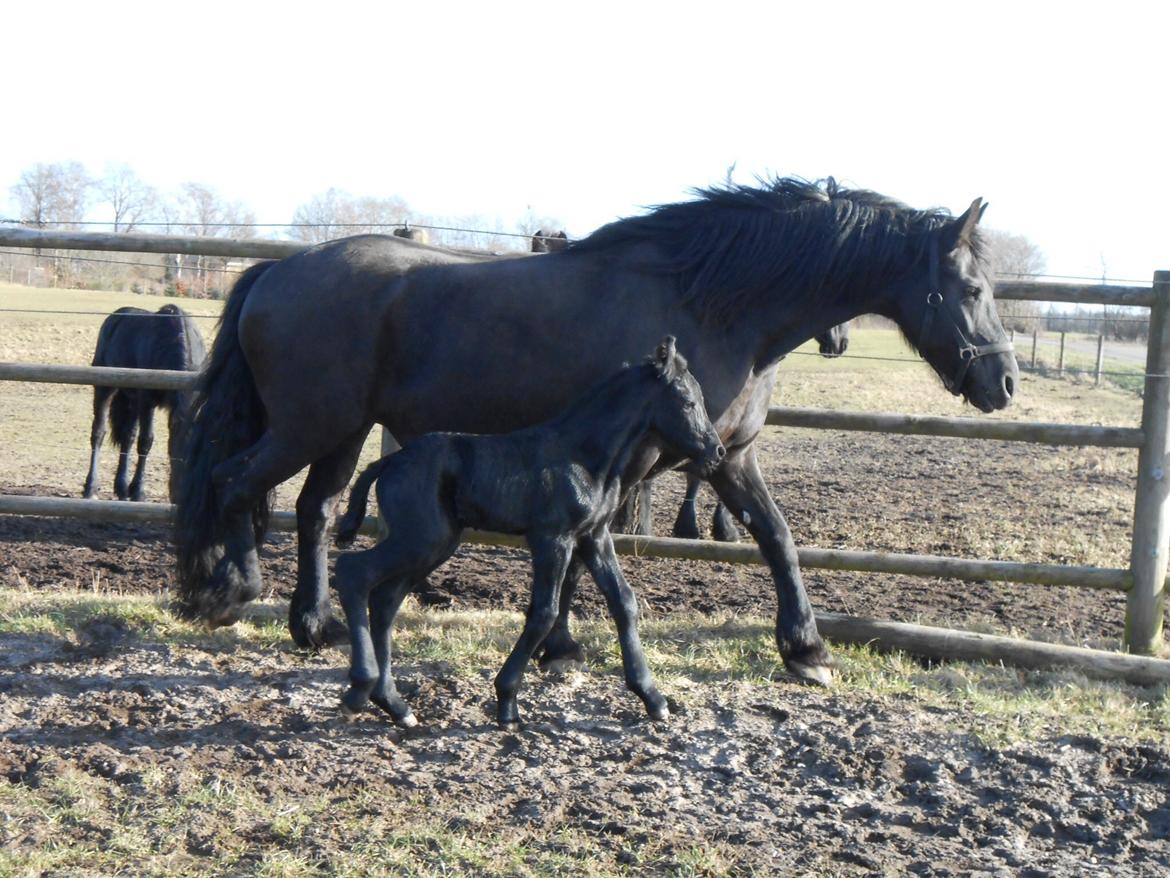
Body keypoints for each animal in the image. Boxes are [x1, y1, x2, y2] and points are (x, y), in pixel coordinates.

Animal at [83, 306, 207, 501]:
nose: (182, 495)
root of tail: (116, 315)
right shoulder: (147, 401)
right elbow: (146, 441)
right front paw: (139, 492)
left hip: (131, 399)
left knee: (127, 437)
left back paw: (122, 488)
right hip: (105, 389)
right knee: (98, 433)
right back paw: (91, 488)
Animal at [173, 179, 1015, 688]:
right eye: (972, 287)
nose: (1003, 381)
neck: (710, 304)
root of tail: (276, 271)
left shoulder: (726, 454)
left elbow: (776, 537)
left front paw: (806, 650)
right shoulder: (642, 459)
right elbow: (585, 555)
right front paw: (563, 650)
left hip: (343, 431)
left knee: (313, 511)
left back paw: (309, 624)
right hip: (310, 425)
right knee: (234, 482)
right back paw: (229, 592)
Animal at [334, 337, 725, 730]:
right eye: (688, 402)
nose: (717, 450)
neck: (584, 457)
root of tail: (389, 462)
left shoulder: (594, 537)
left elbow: (624, 602)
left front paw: (653, 698)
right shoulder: (552, 539)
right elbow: (544, 612)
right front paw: (507, 703)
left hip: (435, 544)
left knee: (385, 600)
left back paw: (394, 705)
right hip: (419, 539)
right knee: (354, 573)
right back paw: (360, 690)